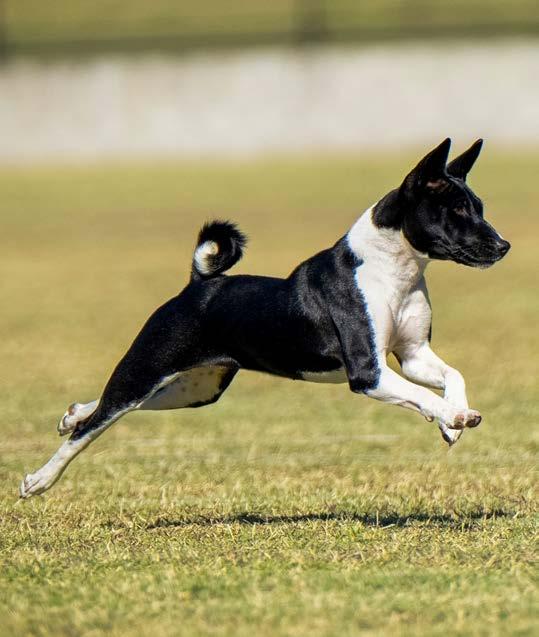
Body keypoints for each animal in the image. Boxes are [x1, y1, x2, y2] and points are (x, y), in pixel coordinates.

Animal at [20, 138, 510, 498]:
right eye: (457, 210)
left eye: (480, 207)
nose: (503, 246)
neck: (391, 270)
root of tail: (197, 285)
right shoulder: (368, 371)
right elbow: (424, 395)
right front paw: (452, 416)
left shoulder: (412, 354)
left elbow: (453, 376)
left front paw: (452, 420)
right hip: (147, 367)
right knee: (94, 425)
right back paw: (39, 480)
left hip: (197, 389)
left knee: (109, 408)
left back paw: (72, 414)